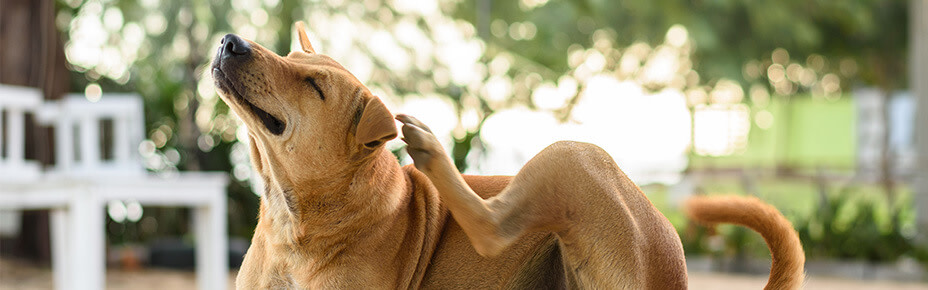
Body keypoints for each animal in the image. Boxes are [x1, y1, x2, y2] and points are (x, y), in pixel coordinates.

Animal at [212, 21, 804, 288]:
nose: (229, 41)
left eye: (313, 85)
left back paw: (430, 147)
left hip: (573, 156)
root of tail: (672, 261)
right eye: (289, 59)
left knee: (494, 228)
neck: (297, 219)